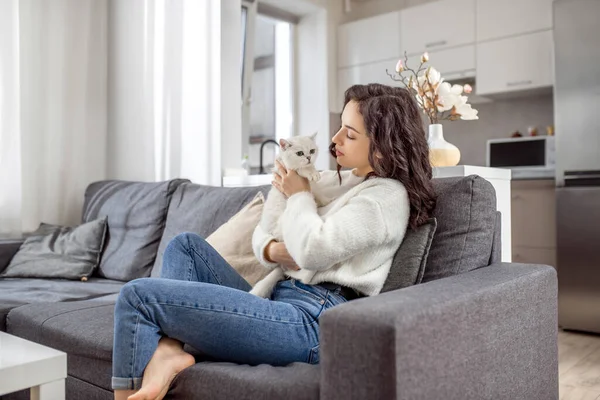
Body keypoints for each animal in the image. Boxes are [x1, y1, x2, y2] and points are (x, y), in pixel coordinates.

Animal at [248, 133, 324, 298]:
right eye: (300, 153)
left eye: (312, 151)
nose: (309, 157)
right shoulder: (288, 169)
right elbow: (302, 168)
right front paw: (312, 172)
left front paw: (315, 172)